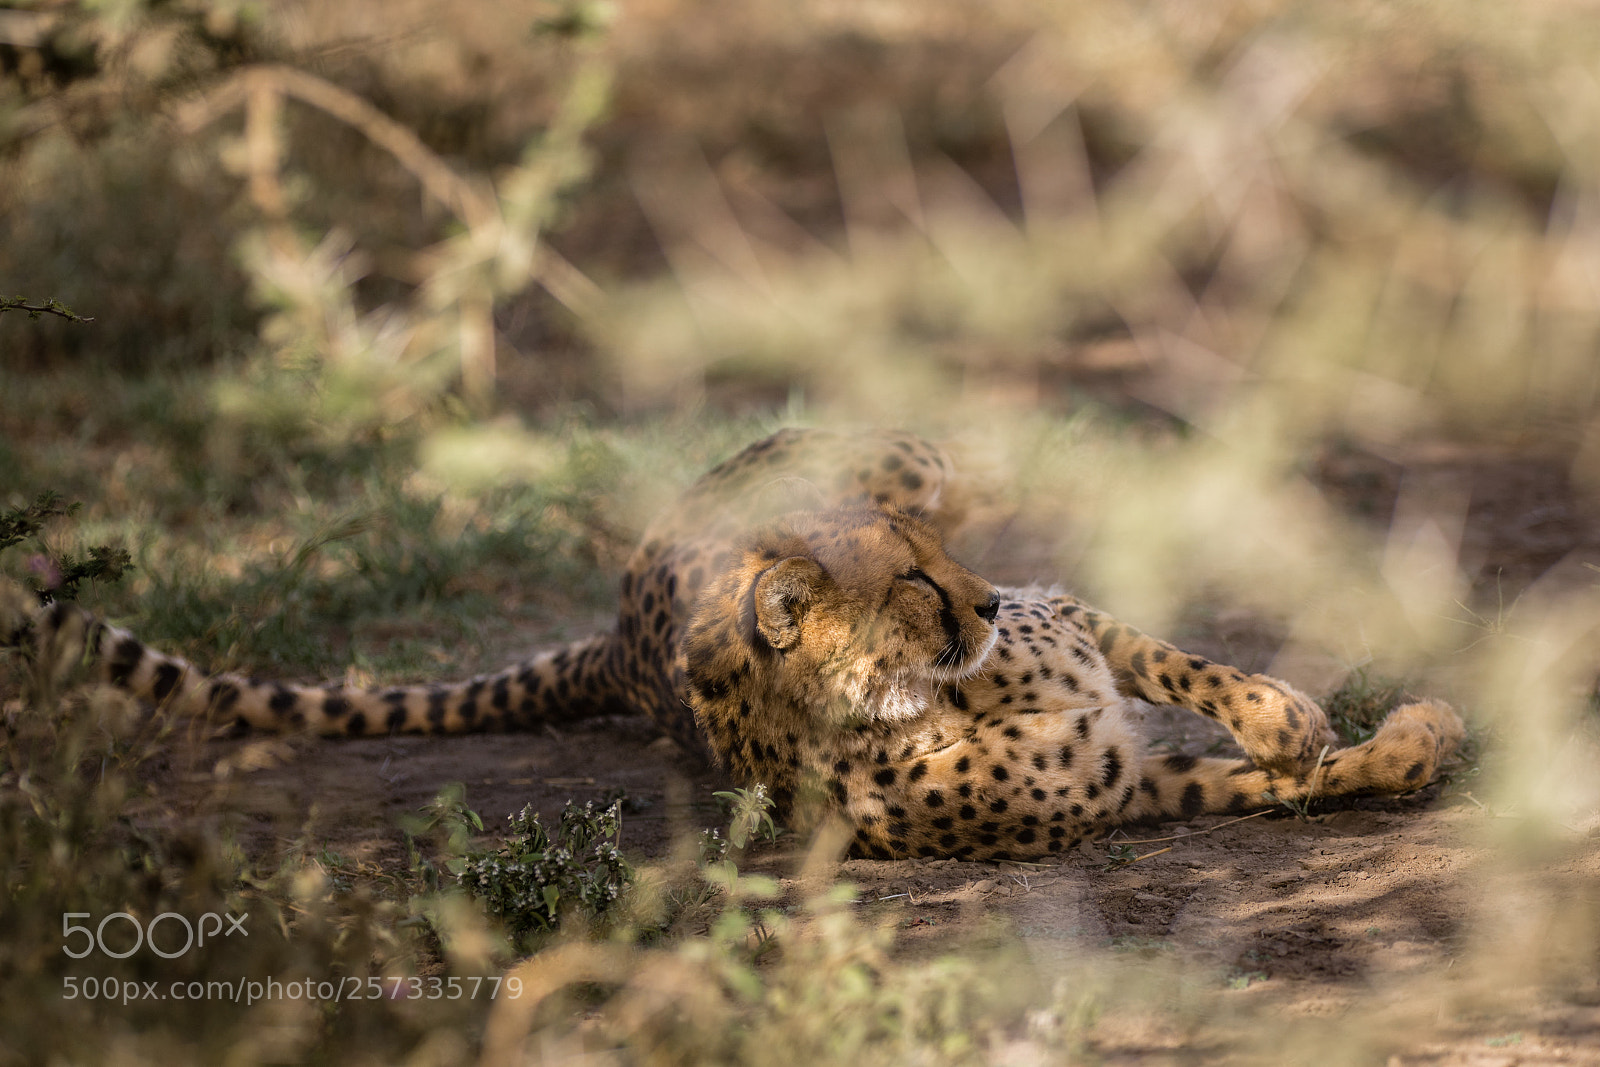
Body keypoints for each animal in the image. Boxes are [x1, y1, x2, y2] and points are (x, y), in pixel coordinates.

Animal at [3, 428, 1465, 861]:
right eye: (912, 584)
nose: (986, 598)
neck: (927, 697)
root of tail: (613, 624)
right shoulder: (1120, 791)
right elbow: (1269, 780)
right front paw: (1391, 738)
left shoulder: (1077, 624)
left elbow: (1188, 666)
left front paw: (1309, 715)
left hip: (915, 451)